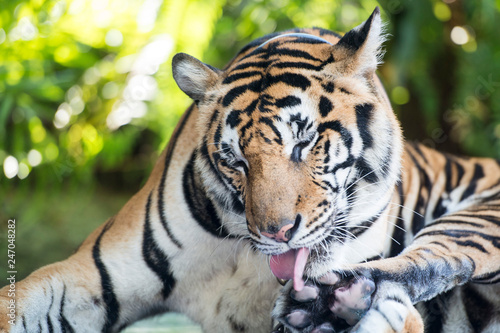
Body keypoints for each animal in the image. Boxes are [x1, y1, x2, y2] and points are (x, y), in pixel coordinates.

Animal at [0, 7, 500, 332]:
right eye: (236, 160)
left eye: (305, 142)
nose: (277, 233)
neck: (244, 253)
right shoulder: (90, 277)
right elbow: (17, 301)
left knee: (434, 260)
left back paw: (335, 302)